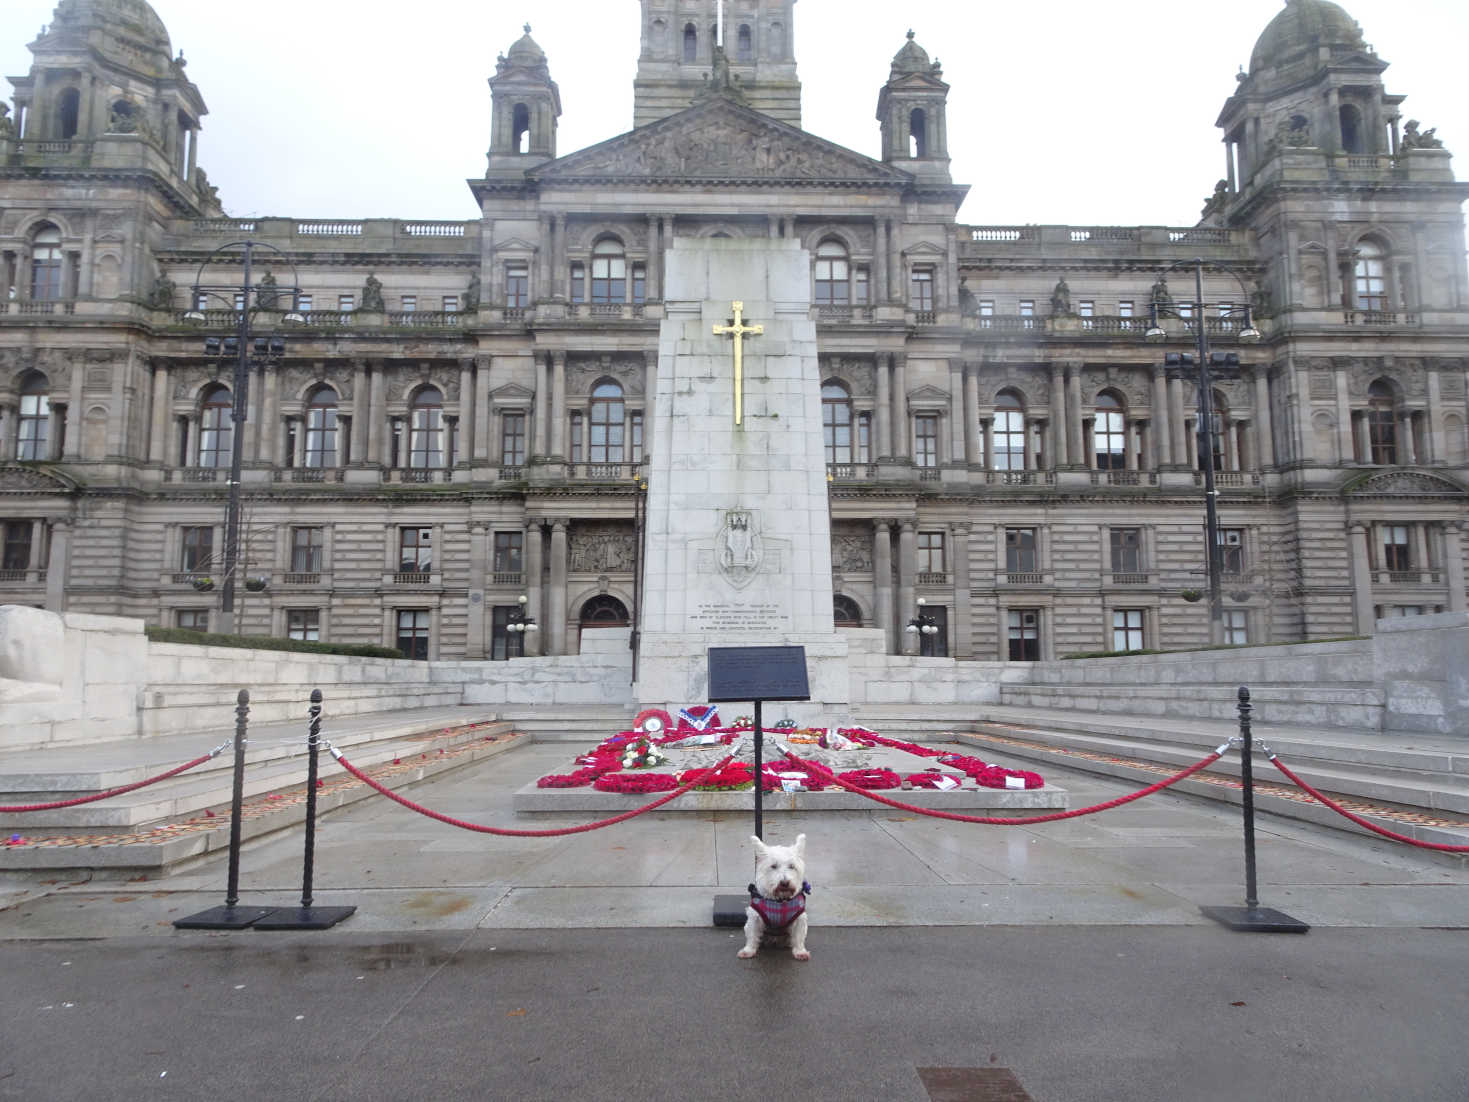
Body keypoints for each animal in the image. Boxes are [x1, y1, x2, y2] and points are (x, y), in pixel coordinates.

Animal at [734, 834, 816, 963]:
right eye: (773, 866)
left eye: (792, 866)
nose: (785, 883)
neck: (780, 900)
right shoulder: (755, 917)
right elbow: (752, 935)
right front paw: (748, 951)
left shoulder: (799, 919)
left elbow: (798, 936)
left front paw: (800, 952)